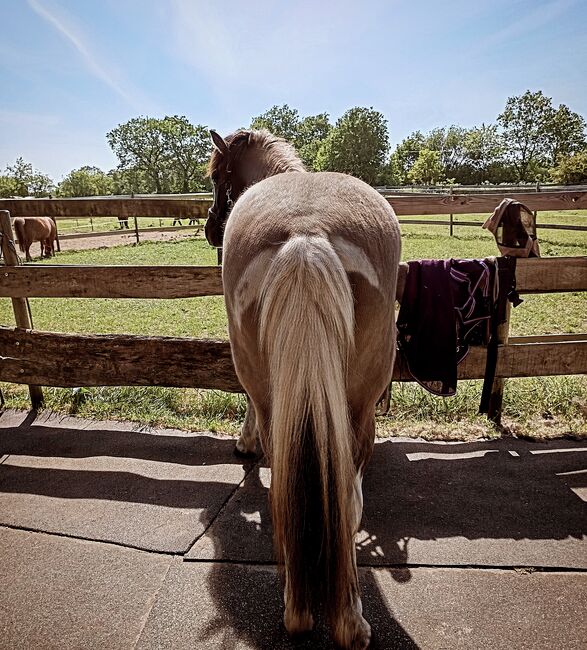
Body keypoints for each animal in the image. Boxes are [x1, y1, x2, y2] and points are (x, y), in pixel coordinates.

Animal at [204, 129, 402, 644]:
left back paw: (306, 613)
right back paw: (345, 619)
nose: (212, 228)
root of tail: (306, 237)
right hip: (358, 406)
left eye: (217, 176)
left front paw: (244, 441)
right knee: (342, 495)